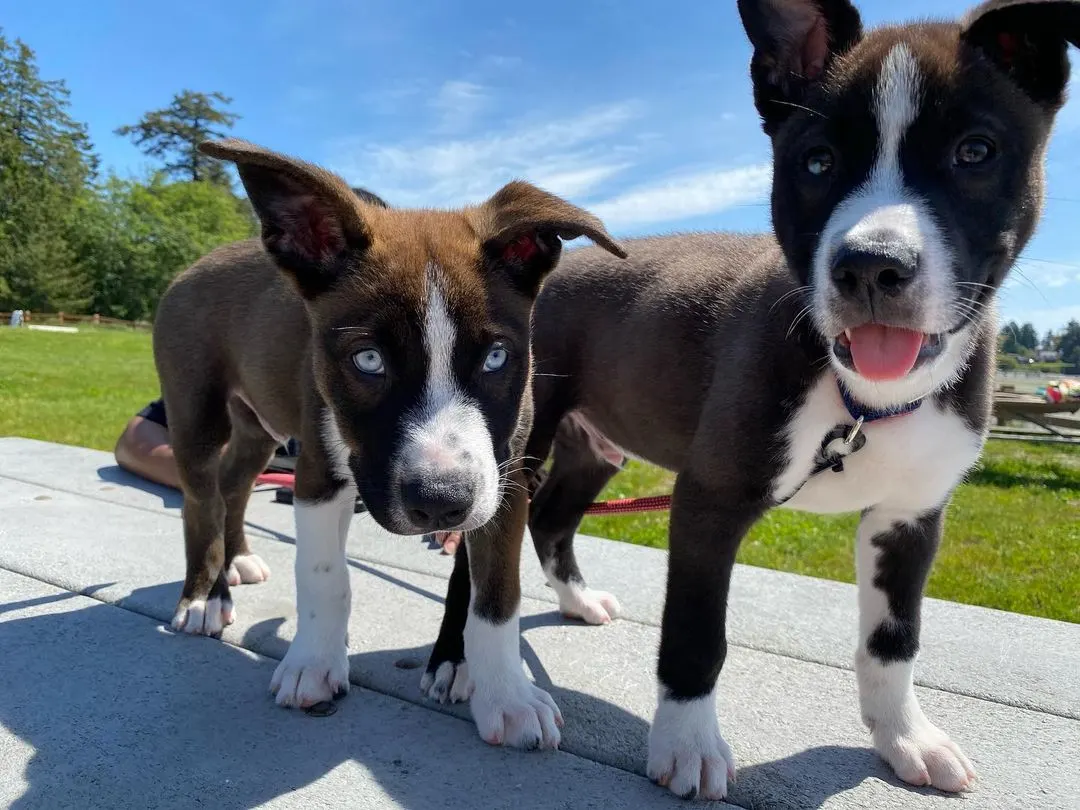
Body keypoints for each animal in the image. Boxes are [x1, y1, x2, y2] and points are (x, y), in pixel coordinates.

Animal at [152, 136, 626, 751]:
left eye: (497, 357)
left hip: (259, 423)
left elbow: (497, 596)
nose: (441, 503)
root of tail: (198, 263)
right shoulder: (319, 474)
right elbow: (325, 577)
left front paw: (507, 696)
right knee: (201, 500)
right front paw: (313, 663)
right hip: (196, 412)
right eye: (369, 360)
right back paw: (204, 595)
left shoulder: (505, 477)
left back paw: (240, 561)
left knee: (234, 483)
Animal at [423, 0, 1080, 803]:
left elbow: (894, 641)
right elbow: (696, 634)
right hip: (514, 444)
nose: (871, 267)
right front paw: (688, 745)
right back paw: (457, 660)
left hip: (595, 443)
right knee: (485, 551)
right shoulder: (710, 498)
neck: (862, 400)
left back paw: (576, 600)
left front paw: (905, 738)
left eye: (975, 151)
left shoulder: (912, 518)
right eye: (817, 162)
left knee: (551, 520)